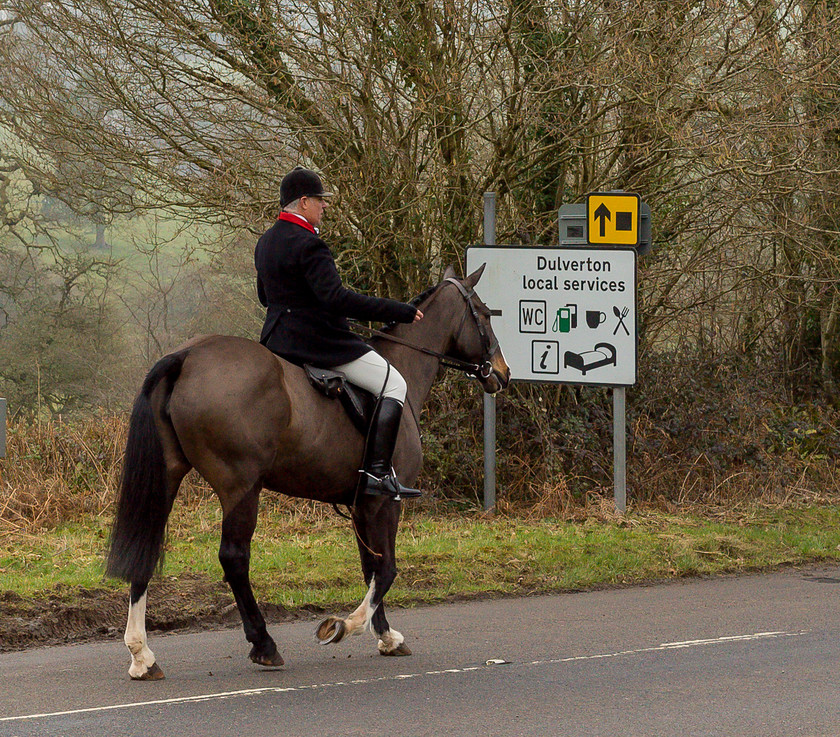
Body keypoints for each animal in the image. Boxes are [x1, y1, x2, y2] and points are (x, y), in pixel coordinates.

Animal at [105, 264, 512, 680]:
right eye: (483, 314)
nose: (502, 372)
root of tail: (186, 355)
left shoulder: (361, 504)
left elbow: (370, 566)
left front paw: (384, 635)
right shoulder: (386, 501)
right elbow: (386, 568)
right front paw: (347, 626)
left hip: (168, 477)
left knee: (146, 550)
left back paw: (142, 655)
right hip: (241, 487)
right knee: (234, 558)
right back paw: (264, 645)